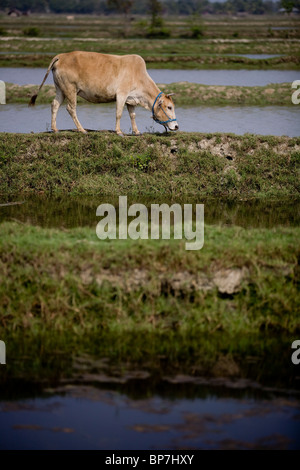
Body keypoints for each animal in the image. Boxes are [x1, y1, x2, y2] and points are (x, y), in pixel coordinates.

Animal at [28, 51, 178, 136]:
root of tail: (61, 56)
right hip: (70, 89)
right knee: (71, 108)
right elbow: (118, 114)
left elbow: (132, 115)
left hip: (61, 89)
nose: (176, 126)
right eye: (169, 107)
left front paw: (136, 132)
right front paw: (118, 131)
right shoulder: (121, 94)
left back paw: (55, 129)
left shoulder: (131, 100)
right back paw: (81, 130)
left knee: (54, 105)